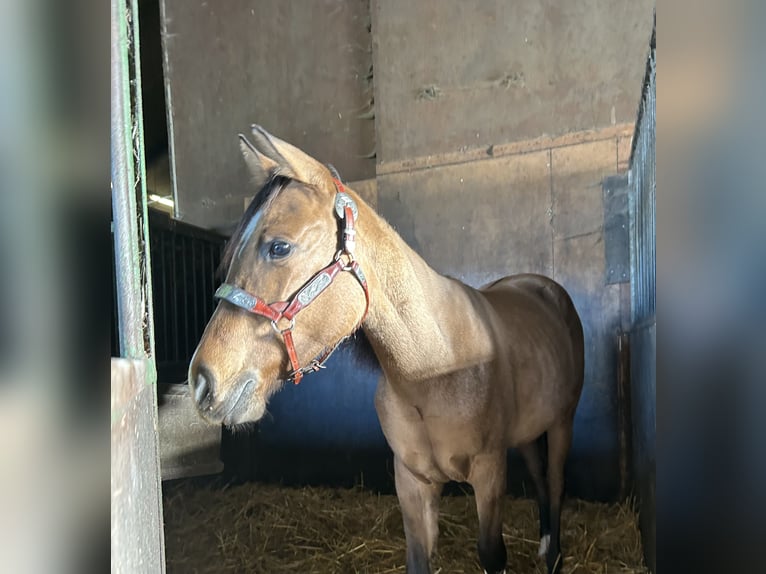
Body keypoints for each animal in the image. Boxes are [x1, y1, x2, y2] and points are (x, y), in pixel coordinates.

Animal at [189, 126, 584, 574]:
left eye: (278, 247)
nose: (202, 381)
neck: (432, 370)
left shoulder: (489, 471)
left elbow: (492, 553)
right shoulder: (411, 482)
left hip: (563, 422)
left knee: (554, 482)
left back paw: (554, 555)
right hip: (529, 431)